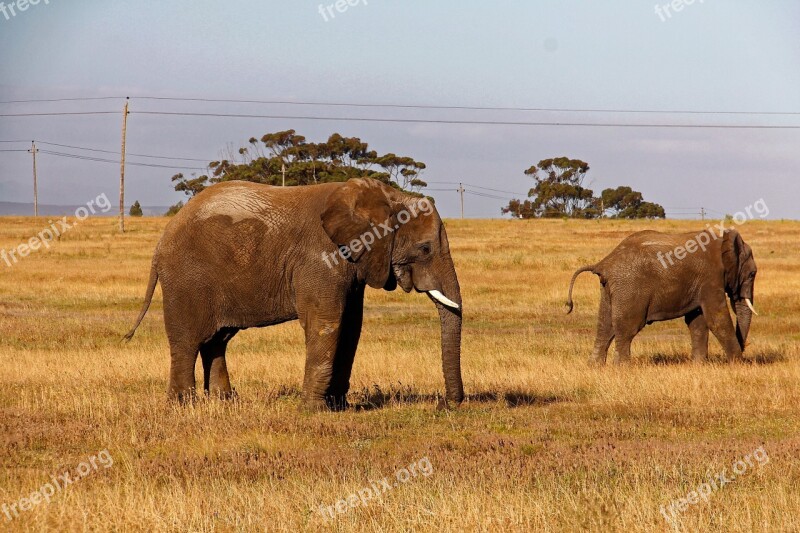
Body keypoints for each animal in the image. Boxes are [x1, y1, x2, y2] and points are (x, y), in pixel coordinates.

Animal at [123, 177, 462, 410]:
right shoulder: (320, 258)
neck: (387, 197)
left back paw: (226, 402)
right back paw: (183, 405)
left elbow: (351, 326)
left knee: (216, 341)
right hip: (186, 280)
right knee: (187, 342)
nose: (445, 404)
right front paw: (314, 410)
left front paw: (339, 408)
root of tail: (161, 241)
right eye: (425, 249)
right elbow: (326, 322)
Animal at [568, 227, 756, 364]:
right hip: (629, 288)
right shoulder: (711, 277)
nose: (744, 347)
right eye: (752, 274)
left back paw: (595, 366)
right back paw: (622, 368)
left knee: (605, 325)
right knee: (628, 327)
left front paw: (698, 365)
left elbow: (697, 321)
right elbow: (717, 319)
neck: (723, 241)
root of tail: (604, 263)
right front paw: (737, 365)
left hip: (610, 288)